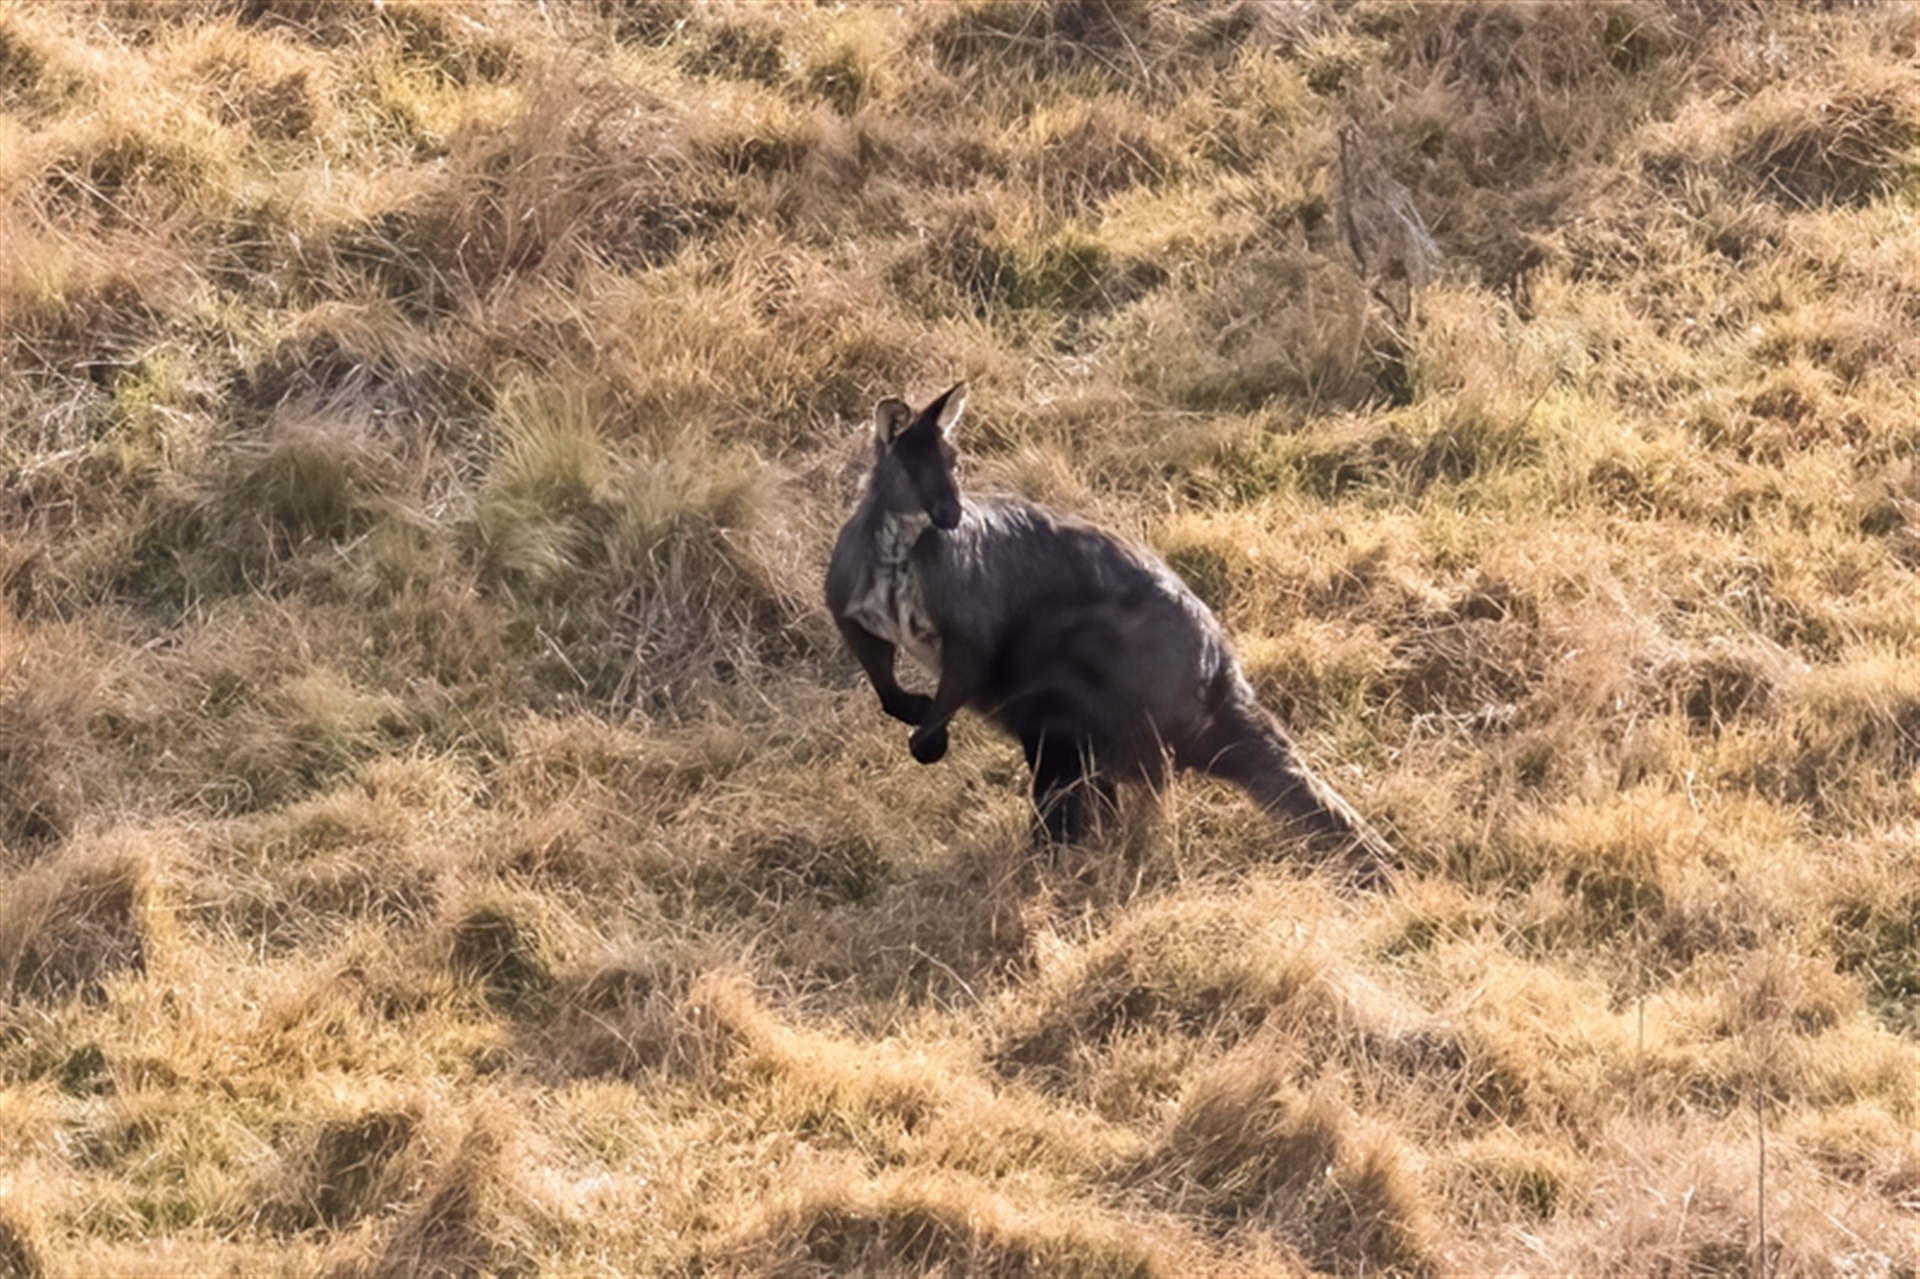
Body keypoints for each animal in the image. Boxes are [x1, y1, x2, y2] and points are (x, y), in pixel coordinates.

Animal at [826, 383, 1396, 877]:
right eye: (912, 469)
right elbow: (883, 680)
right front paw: (917, 714)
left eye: (955, 463)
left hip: (1078, 677)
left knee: (1081, 780)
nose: (952, 515)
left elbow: (963, 667)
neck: (901, 546)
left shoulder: (971, 618)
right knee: (1090, 786)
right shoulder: (851, 608)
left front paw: (927, 735)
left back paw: (1050, 855)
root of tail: (1221, 683)